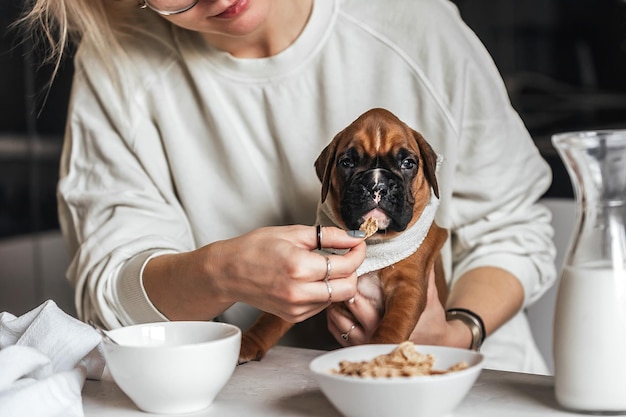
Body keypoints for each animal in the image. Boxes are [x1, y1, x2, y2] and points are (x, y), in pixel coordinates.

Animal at [236, 109, 446, 362]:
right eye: (347, 163)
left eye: (408, 163)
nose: (377, 185)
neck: (373, 241)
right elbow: (273, 317)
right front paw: (248, 342)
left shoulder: (407, 288)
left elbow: (392, 326)